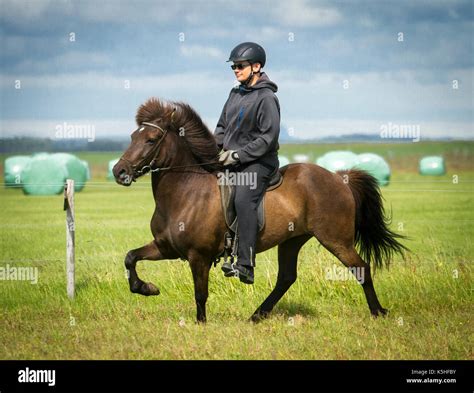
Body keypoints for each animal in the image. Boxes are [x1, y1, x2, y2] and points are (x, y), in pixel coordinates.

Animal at [113, 97, 406, 322]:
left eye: (151, 139)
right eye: (133, 136)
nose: (119, 171)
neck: (186, 192)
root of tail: (339, 176)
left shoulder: (199, 256)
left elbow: (200, 294)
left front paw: (200, 324)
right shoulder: (167, 247)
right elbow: (130, 257)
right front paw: (145, 288)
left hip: (335, 239)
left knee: (361, 268)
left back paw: (378, 312)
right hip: (292, 240)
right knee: (286, 278)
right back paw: (257, 315)